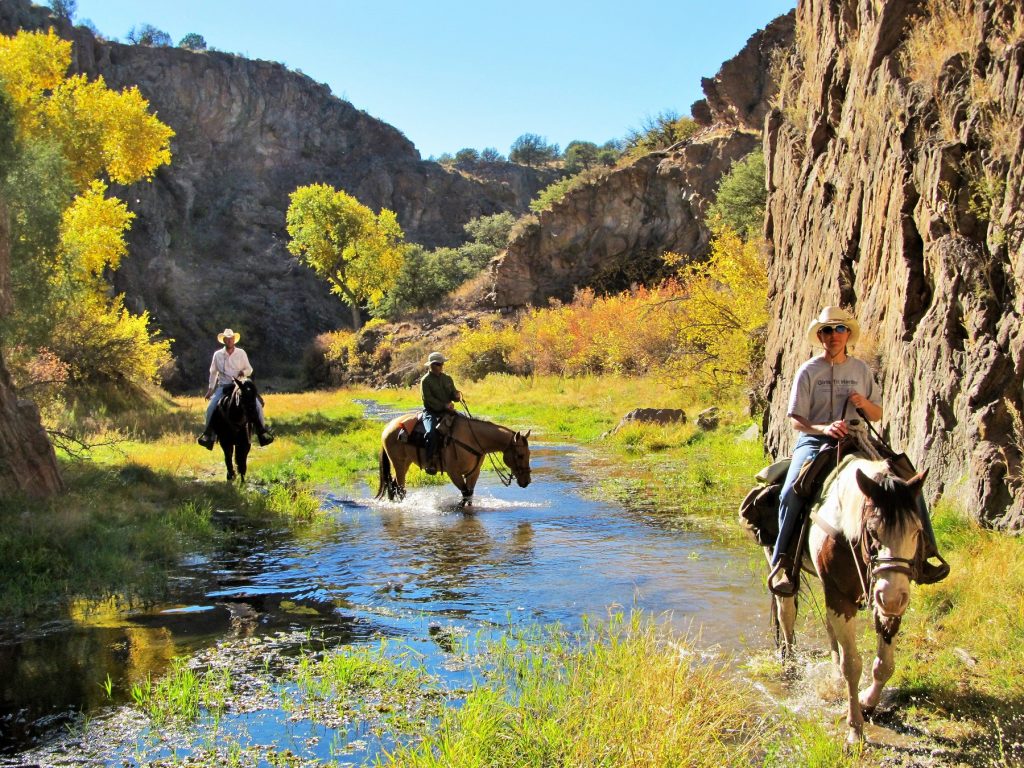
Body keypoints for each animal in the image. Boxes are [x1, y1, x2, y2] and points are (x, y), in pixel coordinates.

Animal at [378, 411, 536, 507]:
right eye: (520, 455)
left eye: (529, 454)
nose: (527, 481)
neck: (473, 439)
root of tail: (388, 426)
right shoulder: (454, 473)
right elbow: (465, 494)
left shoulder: (473, 473)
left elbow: (469, 495)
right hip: (398, 462)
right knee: (400, 488)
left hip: (405, 463)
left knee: (393, 485)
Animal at [770, 456, 933, 745]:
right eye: (873, 531)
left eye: (917, 531)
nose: (892, 597)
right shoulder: (841, 597)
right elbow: (853, 666)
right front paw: (855, 729)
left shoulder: (884, 599)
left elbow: (884, 664)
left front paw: (868, 702)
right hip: (782, 567)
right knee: (785, 614)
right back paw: (790, 663)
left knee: (827, 628)